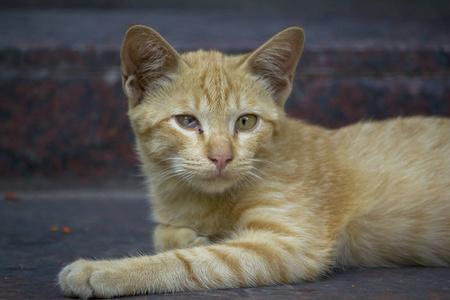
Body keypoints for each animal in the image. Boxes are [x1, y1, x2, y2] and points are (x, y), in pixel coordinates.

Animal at [58, 25, 448, 298]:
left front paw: (105, 272)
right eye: (187, 122)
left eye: (246, 122)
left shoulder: (289, 244)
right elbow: (162, 232)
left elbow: (194, 263)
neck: (203, 200)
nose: (221, 156)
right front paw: (189, 237)